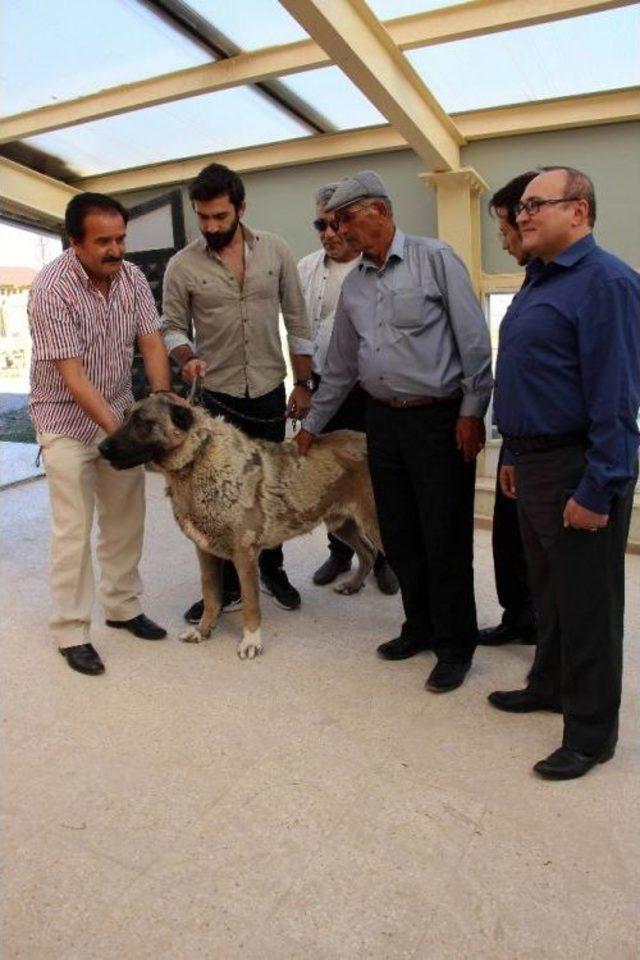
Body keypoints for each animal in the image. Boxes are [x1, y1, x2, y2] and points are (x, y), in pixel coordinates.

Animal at [99, 394, 380, 656]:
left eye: (143, 423)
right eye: (125, 417)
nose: (102, 448)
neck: (198, 459)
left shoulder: (245, 554)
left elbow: (250, 603)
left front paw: (251, 641)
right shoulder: (205, 550)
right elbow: (211, 594)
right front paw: (203, 630)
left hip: (374, 525)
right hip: (341, 524)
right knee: (367, 552)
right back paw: (353, 585)